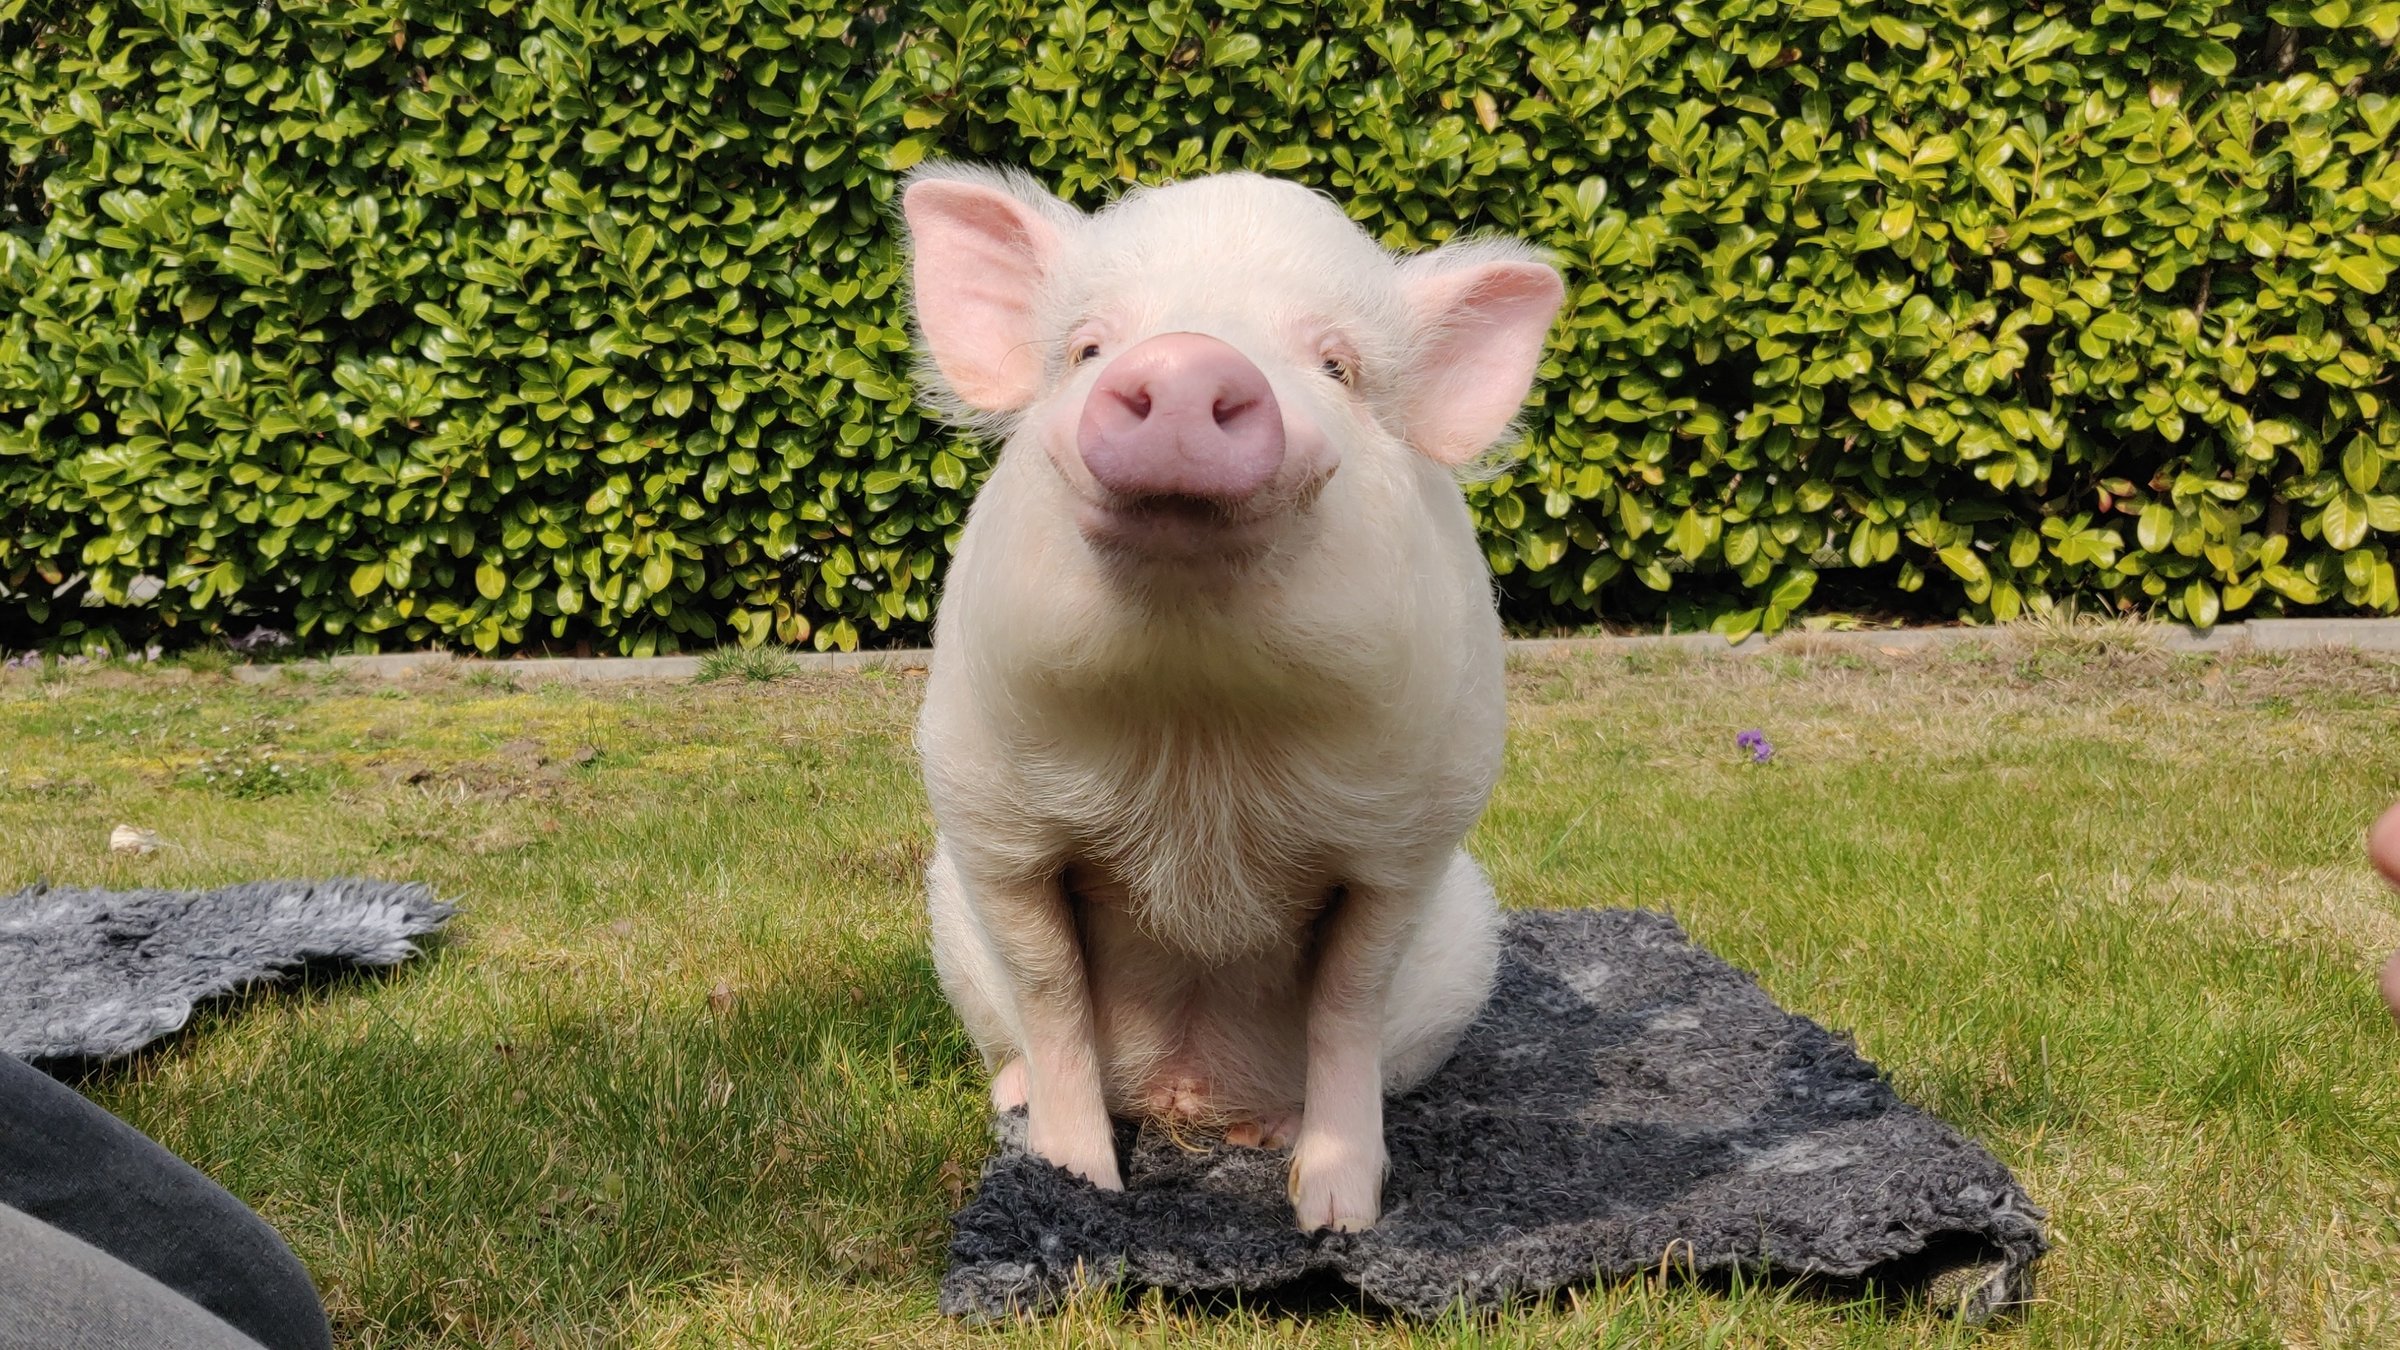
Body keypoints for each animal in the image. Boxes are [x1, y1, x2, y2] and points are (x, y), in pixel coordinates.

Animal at [901, 164, 1564, 1232]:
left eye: (1337, 367)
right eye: (1087, 346)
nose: (1185, 360)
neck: (1198, 720)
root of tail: (1185, 1096)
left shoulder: (1411, 841)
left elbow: (1348, 1001)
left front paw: (1337, 1217)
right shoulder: (989, 817)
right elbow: (1051, 990)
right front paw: (1077, 1184)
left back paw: (1269, 1137)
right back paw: (1014, 1096)